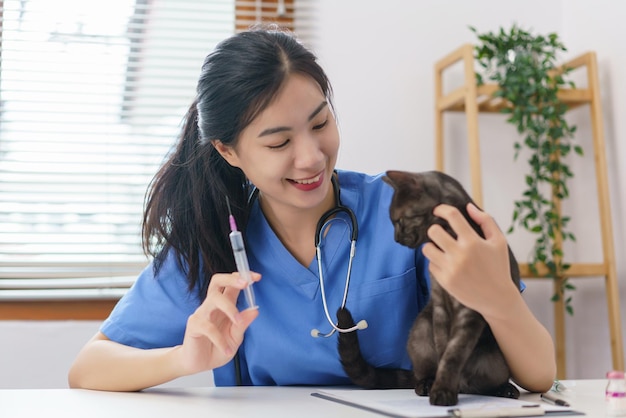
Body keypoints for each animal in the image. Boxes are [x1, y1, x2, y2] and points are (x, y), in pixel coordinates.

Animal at [338, 169, 520, 404]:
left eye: (399, 220)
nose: (396, 239)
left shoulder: (470, 309)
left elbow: (454, 352)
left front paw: (444, 391)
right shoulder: (440, 306)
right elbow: (443, 350)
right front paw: (441, 387)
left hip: (496, 360)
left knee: (486, 383)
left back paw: (505, 389)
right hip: (421, 330)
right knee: (422, 371)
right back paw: (426, 384)